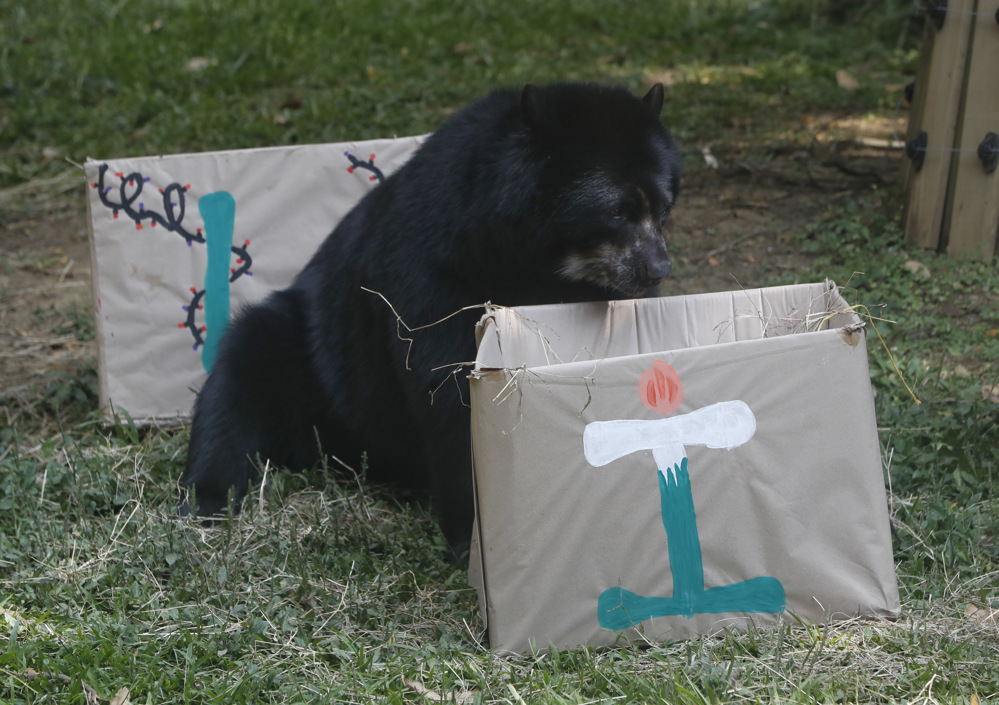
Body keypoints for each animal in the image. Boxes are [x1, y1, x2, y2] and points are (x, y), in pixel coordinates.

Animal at [182, 82, 680, 560]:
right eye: (617, 211)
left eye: (664, 209)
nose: (659, 269)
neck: (535, 262)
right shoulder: (433, 275)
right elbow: (447, 395)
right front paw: (471, 542)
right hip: (293, 352)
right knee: (233, 394)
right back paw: (206, 504)